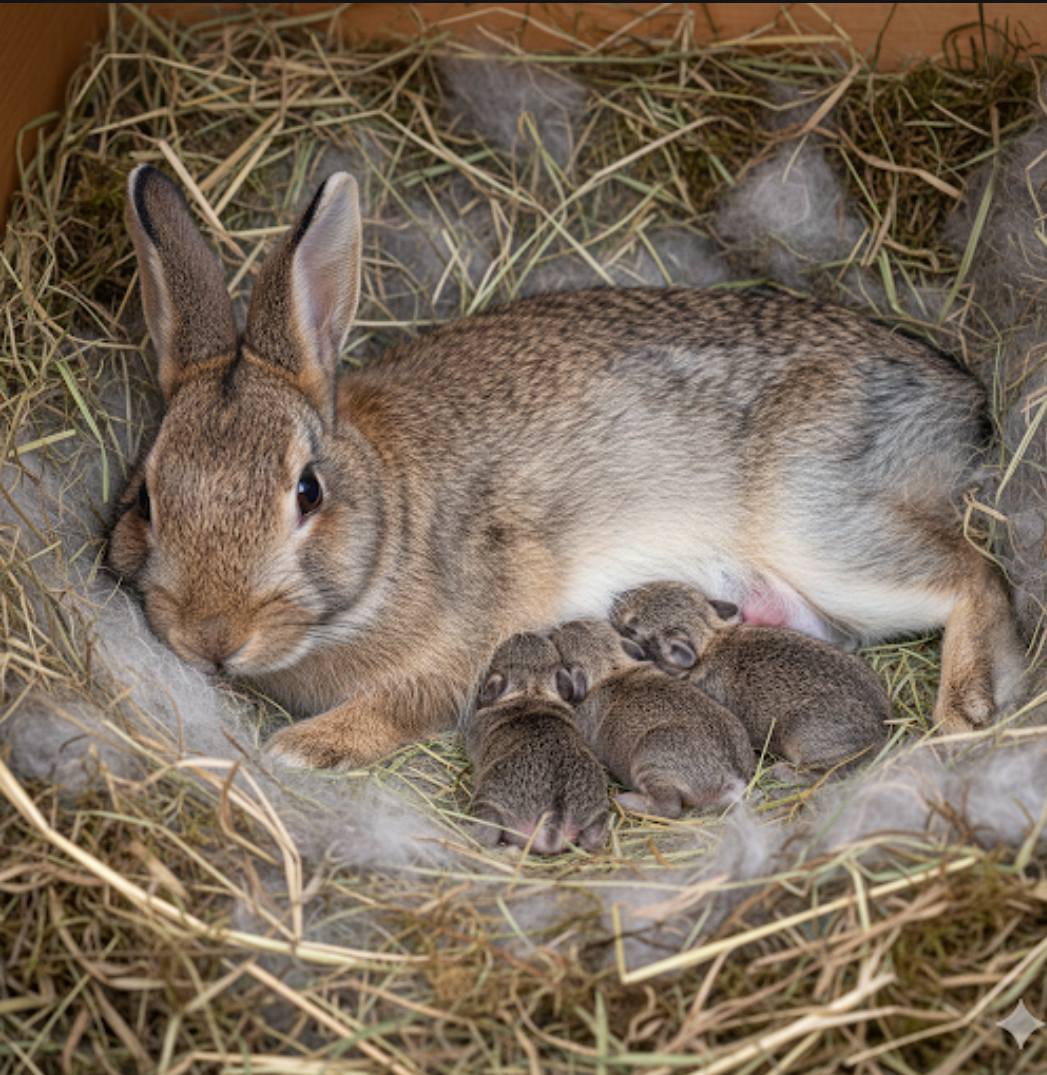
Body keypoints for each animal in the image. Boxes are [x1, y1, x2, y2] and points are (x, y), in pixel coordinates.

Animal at [462, 632, 608, 852]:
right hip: (596, 812)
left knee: (487, 833)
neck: (531, 689)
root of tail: (552, 825)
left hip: (491, 801)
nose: (523, 633)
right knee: (593, 838)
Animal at [553, 619, 755, 817]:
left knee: (669, 807)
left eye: (560, 643)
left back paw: (624, 800)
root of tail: (733, 779)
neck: (611, 665)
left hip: (650, 760)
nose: (562, 626)